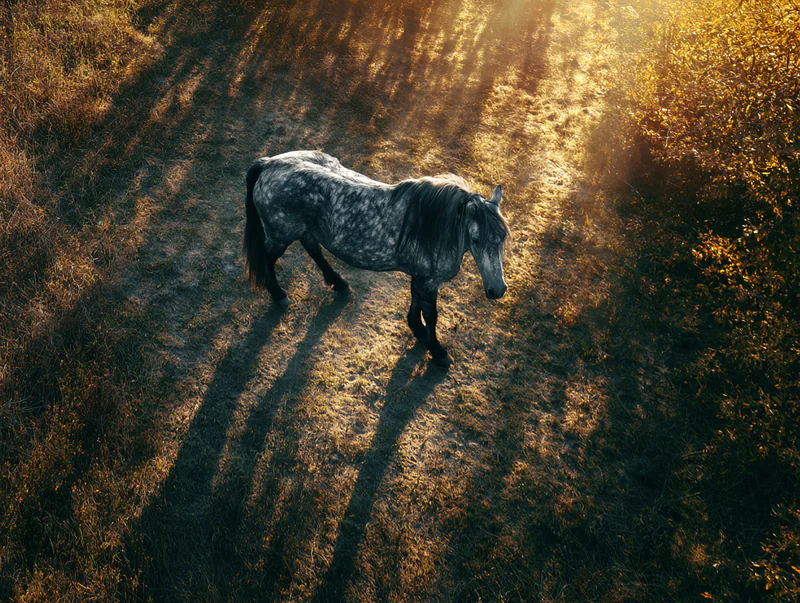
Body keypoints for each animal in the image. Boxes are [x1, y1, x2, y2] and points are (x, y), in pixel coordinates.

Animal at [243, 150, 510, 367]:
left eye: (503, 237)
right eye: (475, 239)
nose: (497, 289)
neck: (431, 227)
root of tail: (269, 164)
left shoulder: (420, 277)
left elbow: (416, 304)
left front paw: (417, 330)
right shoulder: (428, 281)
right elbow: (432, 315)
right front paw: (437, 351)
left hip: (304, 229)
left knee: (313, 249)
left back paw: (338, 282)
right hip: (280, 235)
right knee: (268, 258)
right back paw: (279, 294)